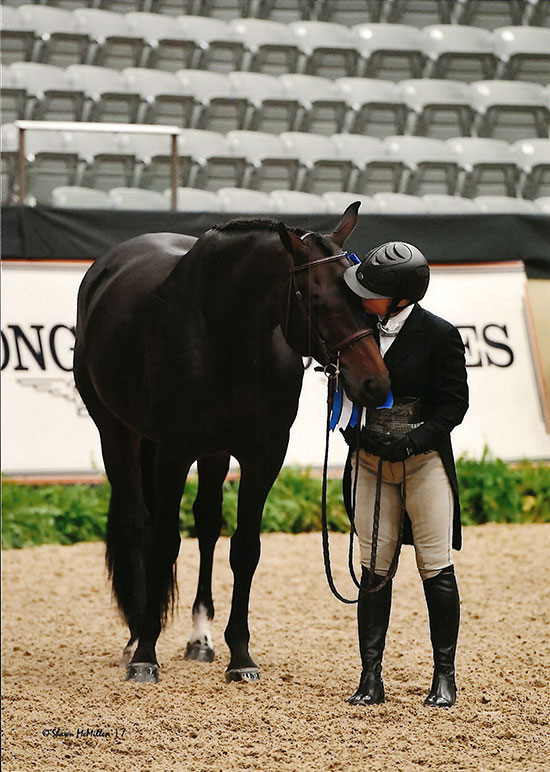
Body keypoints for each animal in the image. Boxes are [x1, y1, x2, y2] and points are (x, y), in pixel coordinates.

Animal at [74, 202, 392, 684]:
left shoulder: (264, 454)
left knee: (207, 525)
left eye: (363, 299)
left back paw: (199, 639)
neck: (222, 336)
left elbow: (244, 548)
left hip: (213, 452)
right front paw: (146, 653)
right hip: (117, 434)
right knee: (137, 522)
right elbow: (164, 542)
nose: (375, 383)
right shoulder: (172, 453)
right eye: (315, 299)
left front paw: (239, 655)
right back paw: (135, 636)